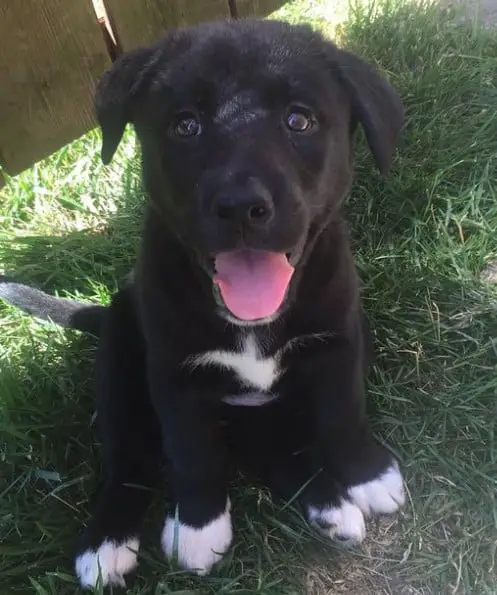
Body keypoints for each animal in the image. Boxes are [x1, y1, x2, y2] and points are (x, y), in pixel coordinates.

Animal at [0, 18, 404, 592]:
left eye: (299, 120)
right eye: (185, 125)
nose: (240, 206)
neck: (252, 323)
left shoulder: (339, 342)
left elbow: (343, 413)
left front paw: (366, 474)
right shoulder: (173, 373)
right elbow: (192, 451)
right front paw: (198, 524)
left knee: (275, 449)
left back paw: (330, 507)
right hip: (121, 368)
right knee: (127, 462)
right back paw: (105, 544)